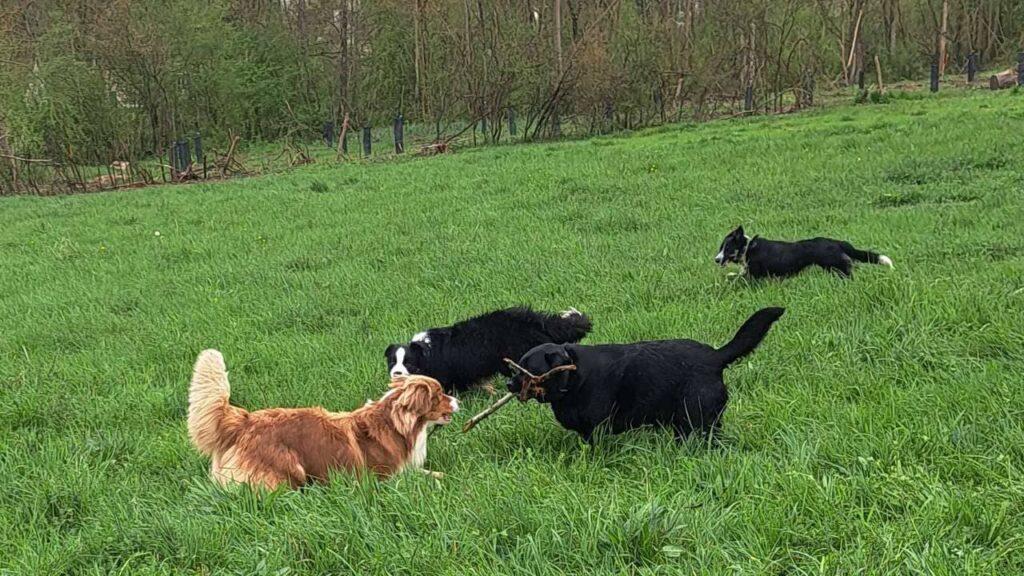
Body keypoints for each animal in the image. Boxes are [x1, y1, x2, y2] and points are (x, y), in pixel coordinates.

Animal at [187, 348, 456, 485]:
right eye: (439, 394)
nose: (458, 401)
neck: (397, 424)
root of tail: (244, 420)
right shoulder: (382, 477)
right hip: (289, 466)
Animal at [505, 307, 782, 440]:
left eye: (528, 370)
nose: (508, 384)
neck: (575, 377)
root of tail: (716, 356)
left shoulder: (597, 429)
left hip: (697, 416)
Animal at [716, 224, 892, 278]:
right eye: (721, 248)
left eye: (727, 248)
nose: (716, 260)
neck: (748, 248)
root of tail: (837, 242)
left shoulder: (754, 274)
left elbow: (738, 277)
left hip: (835, 265)